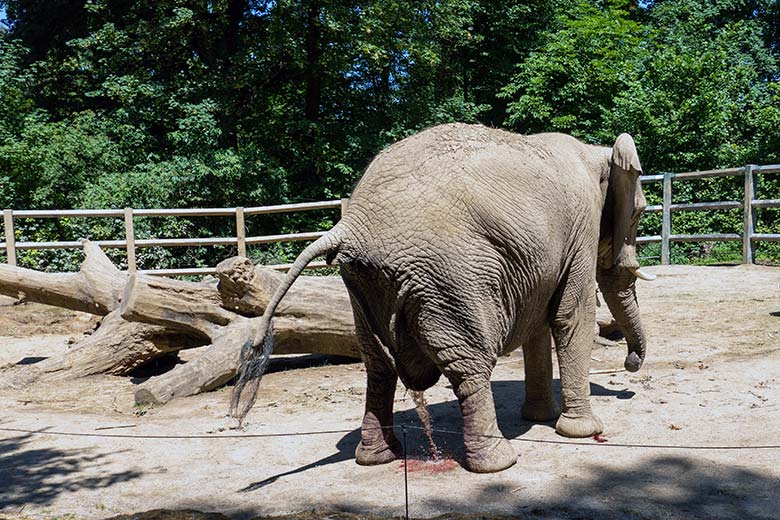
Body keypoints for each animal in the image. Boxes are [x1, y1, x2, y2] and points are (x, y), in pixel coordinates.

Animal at [232, 124, 652, 474]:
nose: (630, 365)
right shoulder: (581, 226)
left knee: (377, 366)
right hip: (449, 278)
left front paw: (539, 419)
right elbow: (570, 316)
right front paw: (580, 431)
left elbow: (539, 321)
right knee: (468, 365)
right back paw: (499, 463)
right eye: (638, 213)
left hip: (362, 283)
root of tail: (349, 226)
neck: (595, 152)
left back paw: (376, 458)